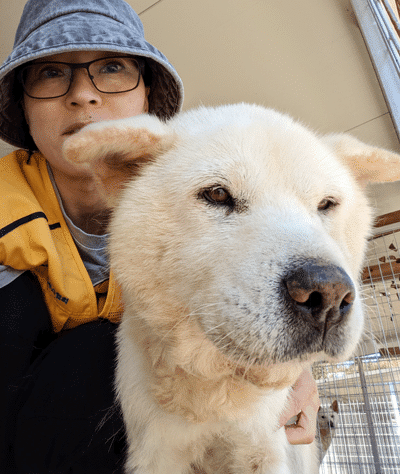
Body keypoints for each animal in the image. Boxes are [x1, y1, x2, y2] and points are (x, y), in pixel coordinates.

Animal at [63, 104, 400, 474]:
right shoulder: (158, 453)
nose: (328, 293)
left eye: (326, 204)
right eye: (217, 194)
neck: (217, 389)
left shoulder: (266, 449)